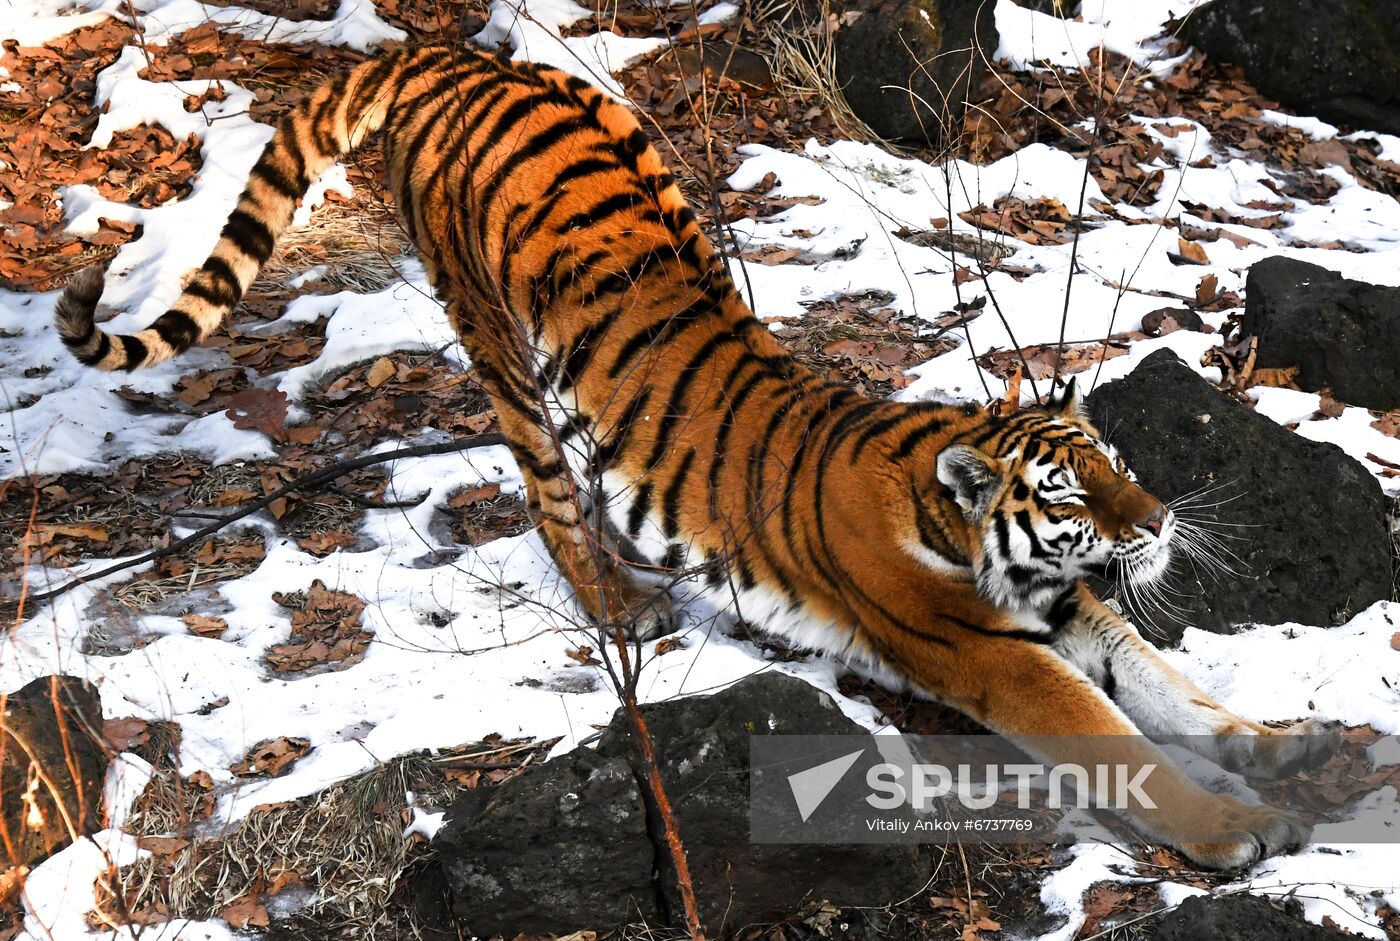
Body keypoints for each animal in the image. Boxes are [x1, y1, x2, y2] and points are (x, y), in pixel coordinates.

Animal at [54, 42, 1338, 868]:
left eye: (1112, 456)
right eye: (1072, 486)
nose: (1158, 521)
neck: (981, 535)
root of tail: (458, 60)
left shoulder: (1070, 608)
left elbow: (1172, 688)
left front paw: (1288, 744)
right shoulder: (987, 651)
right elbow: (1121, 739)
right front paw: (1234, 827)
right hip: (495, 338)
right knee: (548, 492)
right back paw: (619, 602)